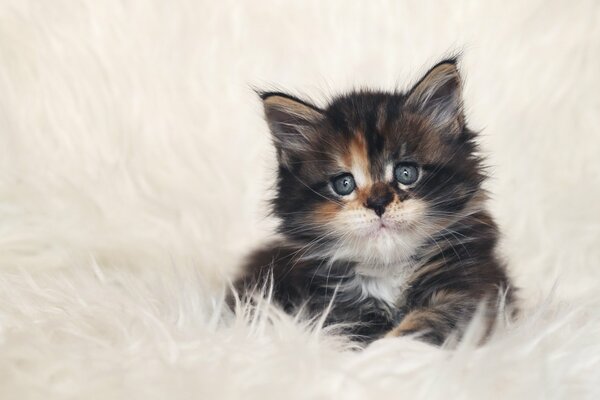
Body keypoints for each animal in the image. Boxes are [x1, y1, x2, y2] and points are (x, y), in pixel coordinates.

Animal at [234, 59, 516, 346]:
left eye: (406, 173)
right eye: (344, 184)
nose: (378, 203)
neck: (388, 269)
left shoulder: (470, 288)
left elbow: (424, 325)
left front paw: (392, 349)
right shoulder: (333, 308)